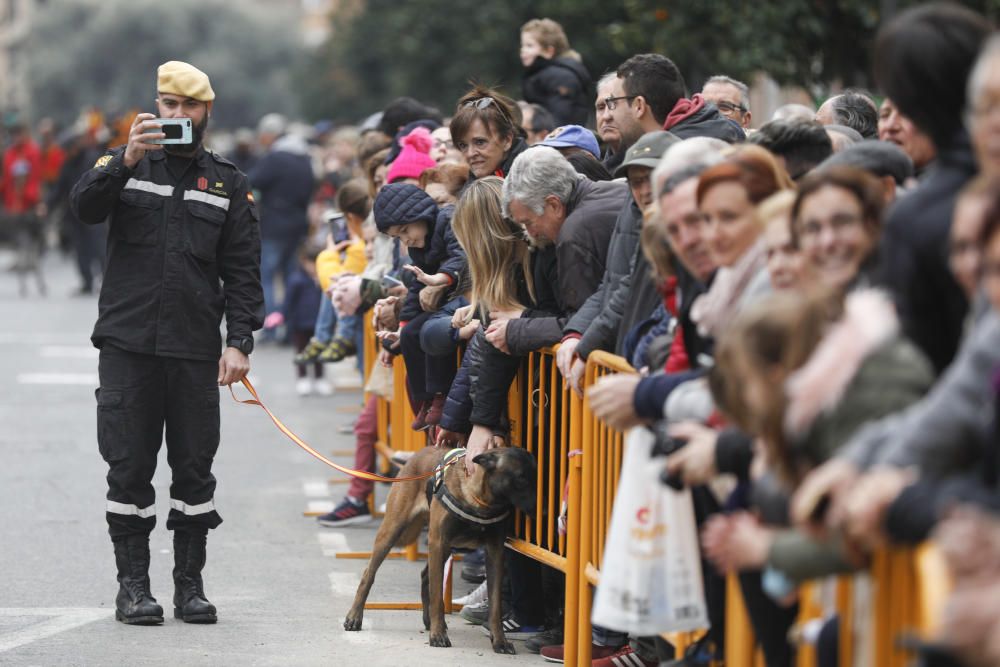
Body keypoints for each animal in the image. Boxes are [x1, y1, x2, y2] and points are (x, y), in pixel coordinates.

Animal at [342, 446, 536, 656]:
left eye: (537, 476)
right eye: (521, 478)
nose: (544, 512)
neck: (480, 502)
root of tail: (417, 454)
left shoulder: (494, 553)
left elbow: (495, 605)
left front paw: (500, 640)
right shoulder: (437, 542)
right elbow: (437, 596)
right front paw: (438, 635)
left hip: (444, 549)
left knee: (425, 576)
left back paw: (429, 620)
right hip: (393, 532)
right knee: (369, 574)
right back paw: (355, 616)